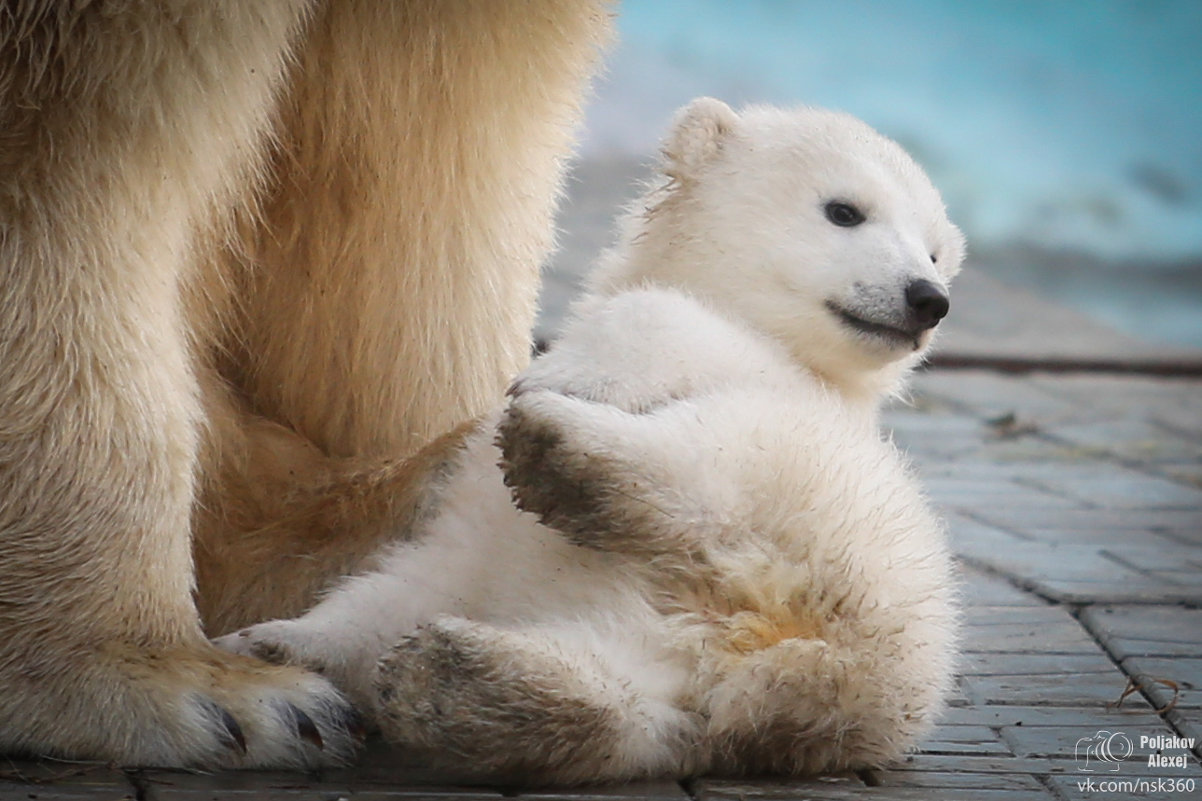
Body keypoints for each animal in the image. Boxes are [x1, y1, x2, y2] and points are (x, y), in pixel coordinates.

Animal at [221, 98, 961, 779]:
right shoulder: (471, 527)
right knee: (636, 701)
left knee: (724, 464)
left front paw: (561, 371)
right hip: (660, 651)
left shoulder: (796, 383)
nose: (927, 297)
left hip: (847, 509)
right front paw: (271, 647)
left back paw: (560, 451)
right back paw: (462, 684)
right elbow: (423, 575)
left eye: (932, 248)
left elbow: (676, 322)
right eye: (845, 210)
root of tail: (795, 654)